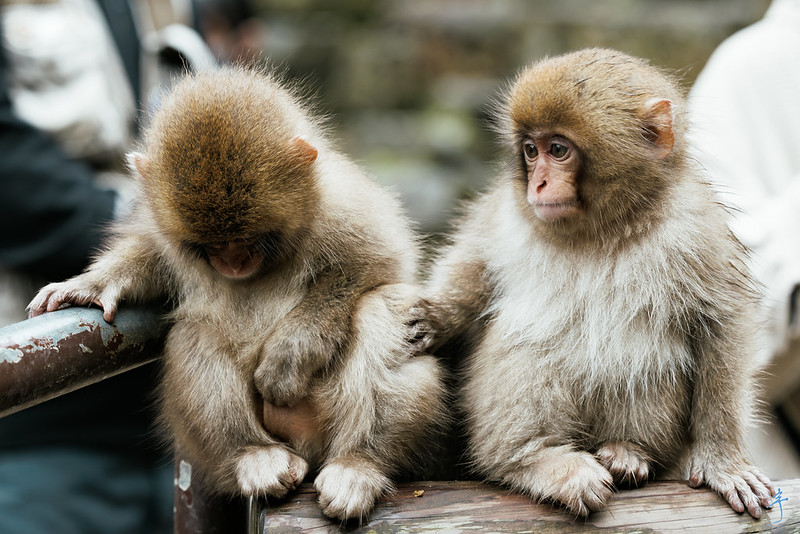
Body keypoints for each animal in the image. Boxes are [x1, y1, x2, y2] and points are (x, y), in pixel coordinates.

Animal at [28, 66, 445, 522]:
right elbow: (150, 257)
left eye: (246, 238)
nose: (232, 261)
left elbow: (376, 263)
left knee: (380, 309)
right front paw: (90, 285)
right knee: (197, 331)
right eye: (209, 243)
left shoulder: (344, 206)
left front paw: (288, 356)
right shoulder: (162, 226)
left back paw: (358, 465)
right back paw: (254, 455)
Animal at [418, 48, 775, 518]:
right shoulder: (505, 214)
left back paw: (630, 453)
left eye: (558, 150)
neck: (599, 231)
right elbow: (474, 270)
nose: (538, 183)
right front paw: (436, 316)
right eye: (530, 150)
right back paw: (535, 462)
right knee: (530, 344)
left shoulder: (699, 229)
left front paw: (723, 458)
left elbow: (723, 324)